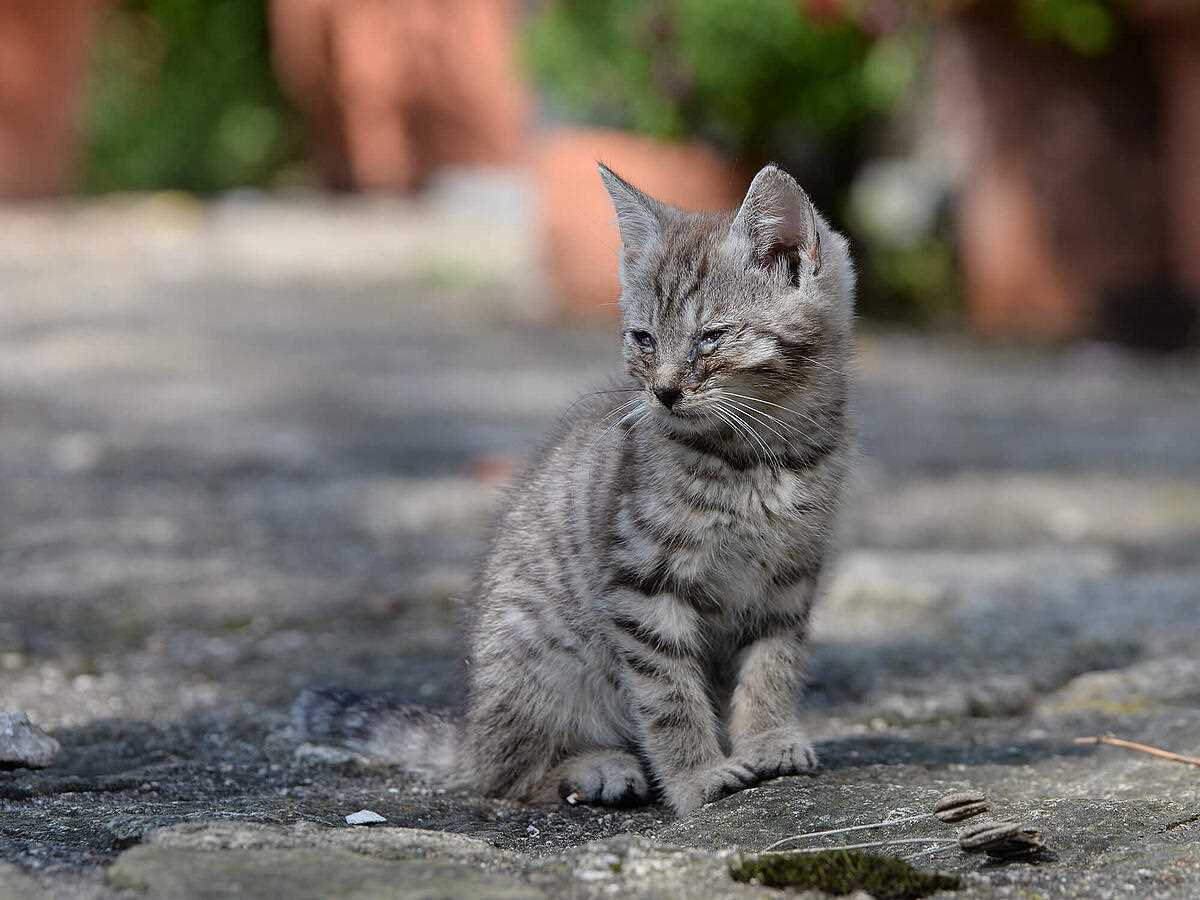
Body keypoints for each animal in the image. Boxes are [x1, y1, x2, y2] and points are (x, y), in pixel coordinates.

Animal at [296, 162, 859, 816]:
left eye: (711, 338)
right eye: (644, 340)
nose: (665, 391)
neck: (761, 457)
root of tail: (472, 730)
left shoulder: (788, 579)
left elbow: (773, 665)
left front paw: (770, 741)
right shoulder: (644, 584)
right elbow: (668, 694)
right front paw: (698, 777)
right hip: (538, 658)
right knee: (503, 775)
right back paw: (595, 769)